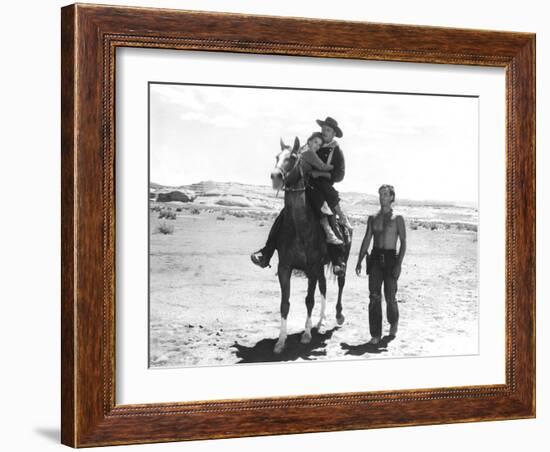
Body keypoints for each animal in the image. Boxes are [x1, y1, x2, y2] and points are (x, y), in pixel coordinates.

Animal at [270, 136, 354, 354]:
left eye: (293, 157)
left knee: (340, 284)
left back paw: (338, 316)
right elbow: (284, 304)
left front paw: (306, 335)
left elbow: (309, 300)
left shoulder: (311, 267)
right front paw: (280, 341)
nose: (275, 176)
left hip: (341, 262)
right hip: (321, 267)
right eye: (276, 156)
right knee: (323, 288)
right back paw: (320, 321)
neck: (300, 226)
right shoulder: (285, 268)